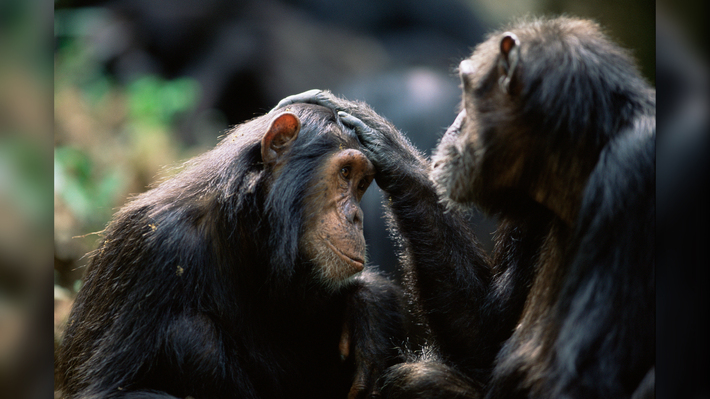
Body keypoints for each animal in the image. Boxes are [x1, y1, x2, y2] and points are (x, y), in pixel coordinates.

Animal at [55, 104, 406, 399]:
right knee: (190, 335)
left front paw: (369, 308)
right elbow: (111, 391)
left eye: (361, 184)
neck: (246, 224)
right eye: (345, 173)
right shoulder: (152, 245)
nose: (356, 216)